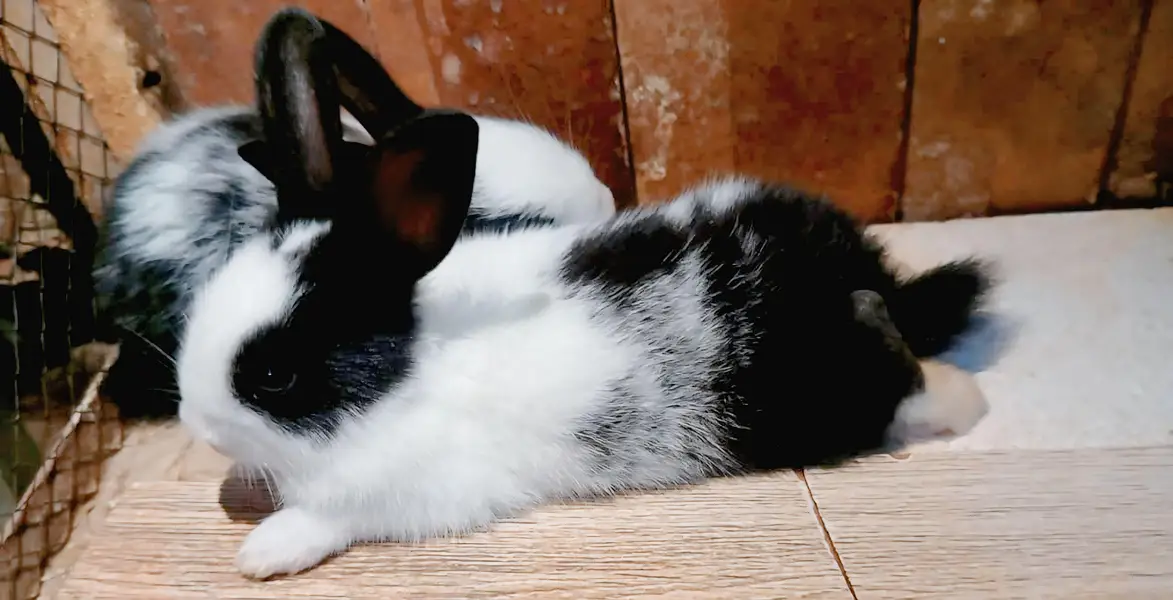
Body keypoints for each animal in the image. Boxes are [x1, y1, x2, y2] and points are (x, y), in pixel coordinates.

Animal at [175, 8, 994, 579]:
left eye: (274, 374)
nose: (196, 422)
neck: (402, 373)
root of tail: (869, 275)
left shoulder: (413, 492)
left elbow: (331, 517)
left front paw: (262, 551)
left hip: (812, 397)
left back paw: (954, 394)